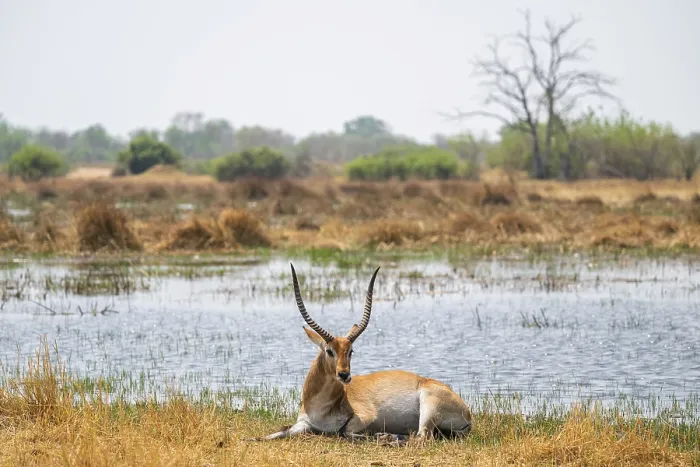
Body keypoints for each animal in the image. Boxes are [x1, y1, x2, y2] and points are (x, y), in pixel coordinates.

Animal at [261, 264, 472, 443]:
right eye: (329, 350)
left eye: (351, 351)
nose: (344, 375)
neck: (321, 407)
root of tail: (467, 414)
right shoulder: (303, 424)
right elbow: (280, 432)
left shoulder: (364, 416)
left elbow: (344, 432)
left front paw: (371, 435)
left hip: (428, 407)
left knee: (422, 437)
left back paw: (386, 437)